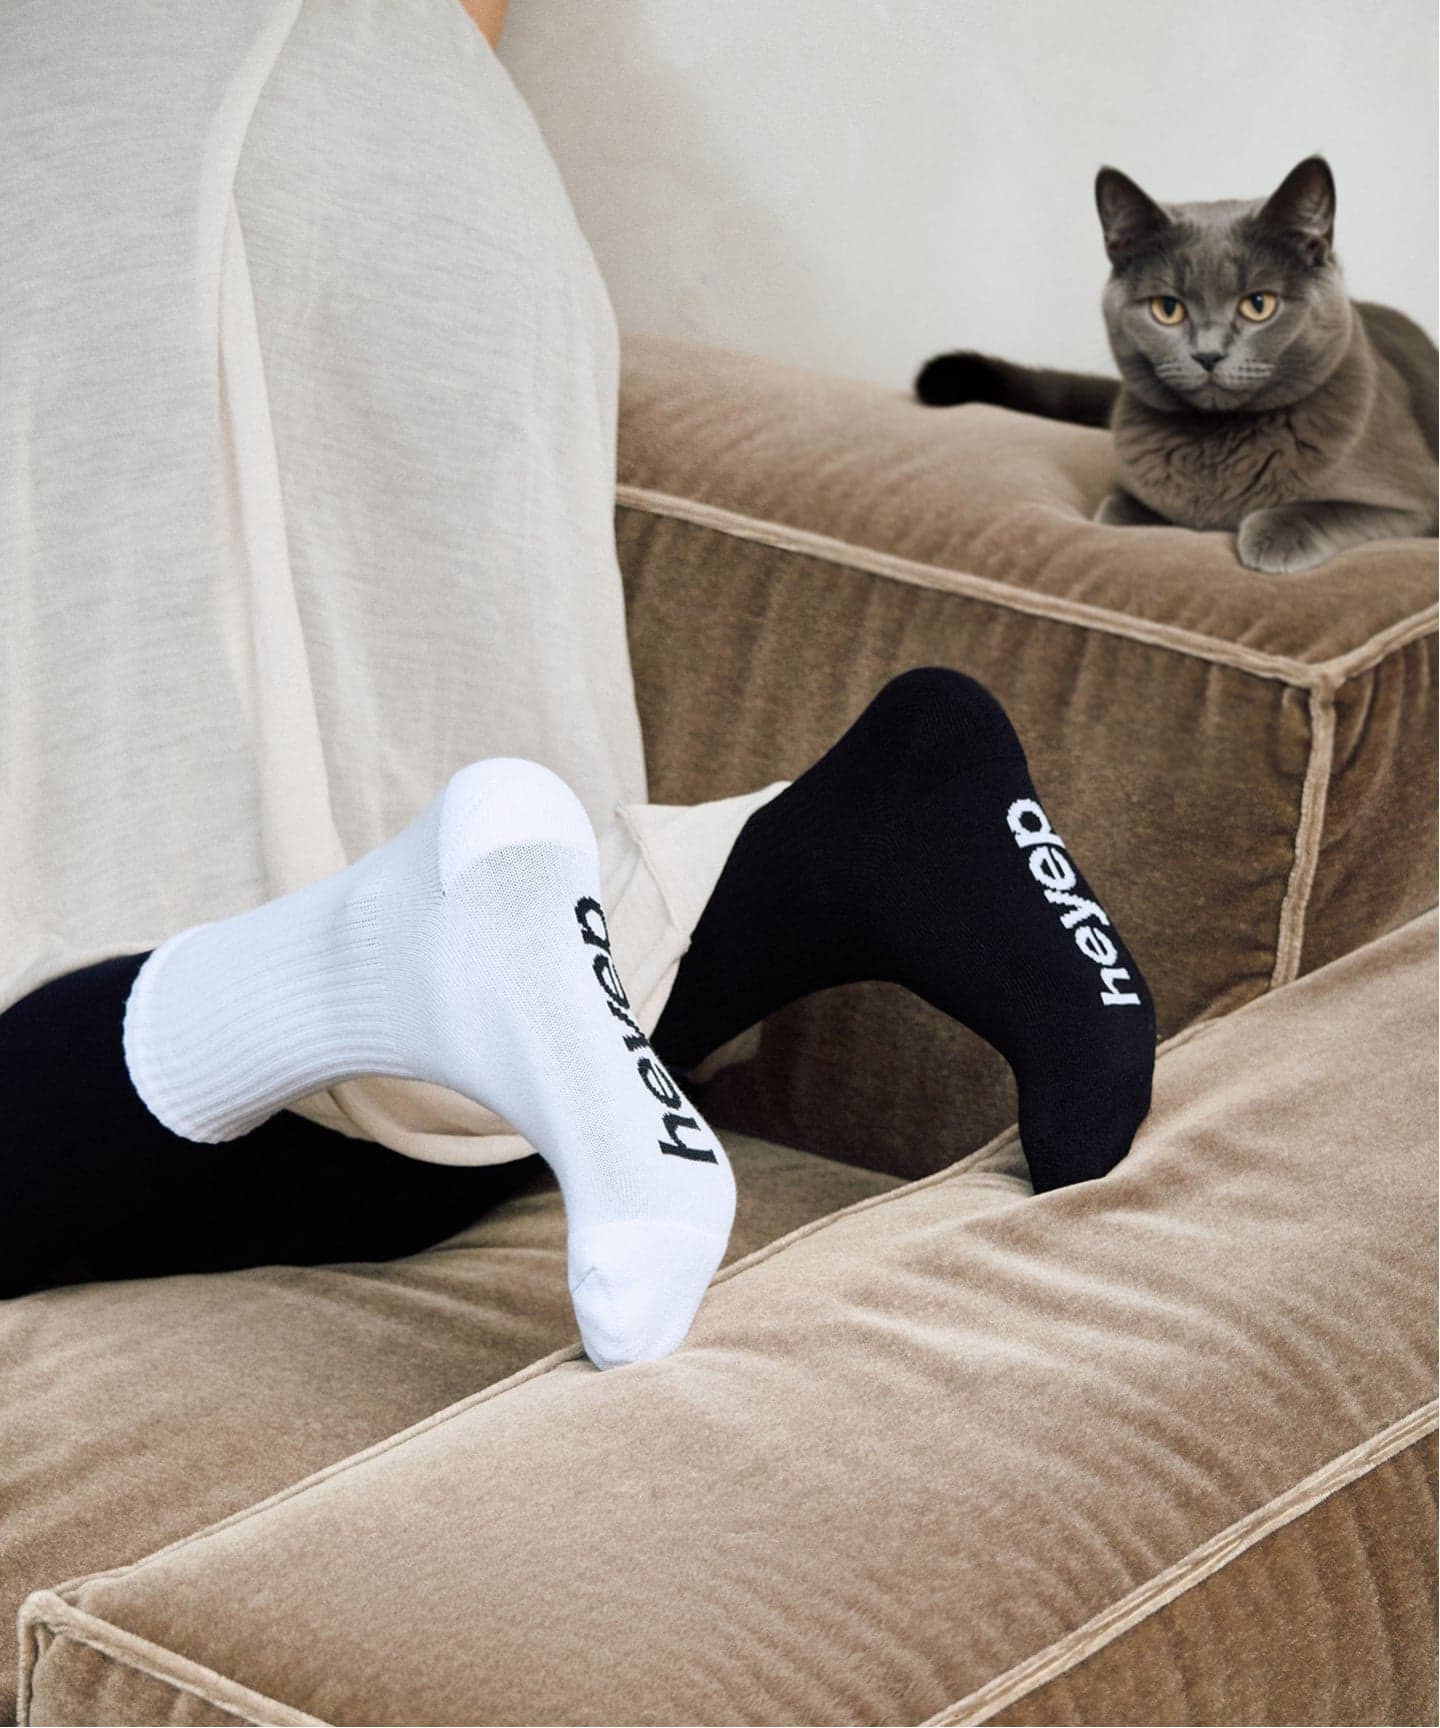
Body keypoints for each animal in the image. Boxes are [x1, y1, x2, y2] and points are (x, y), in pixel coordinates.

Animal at [916, 157, 1438, 574]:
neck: (1217, 445)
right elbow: (1116, 509)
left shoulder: (1420, 502)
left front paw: (1274, 535)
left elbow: (1325, 507)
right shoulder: (1128, 488)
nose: (1207, 353)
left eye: (1259, 305)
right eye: (1167, 309)